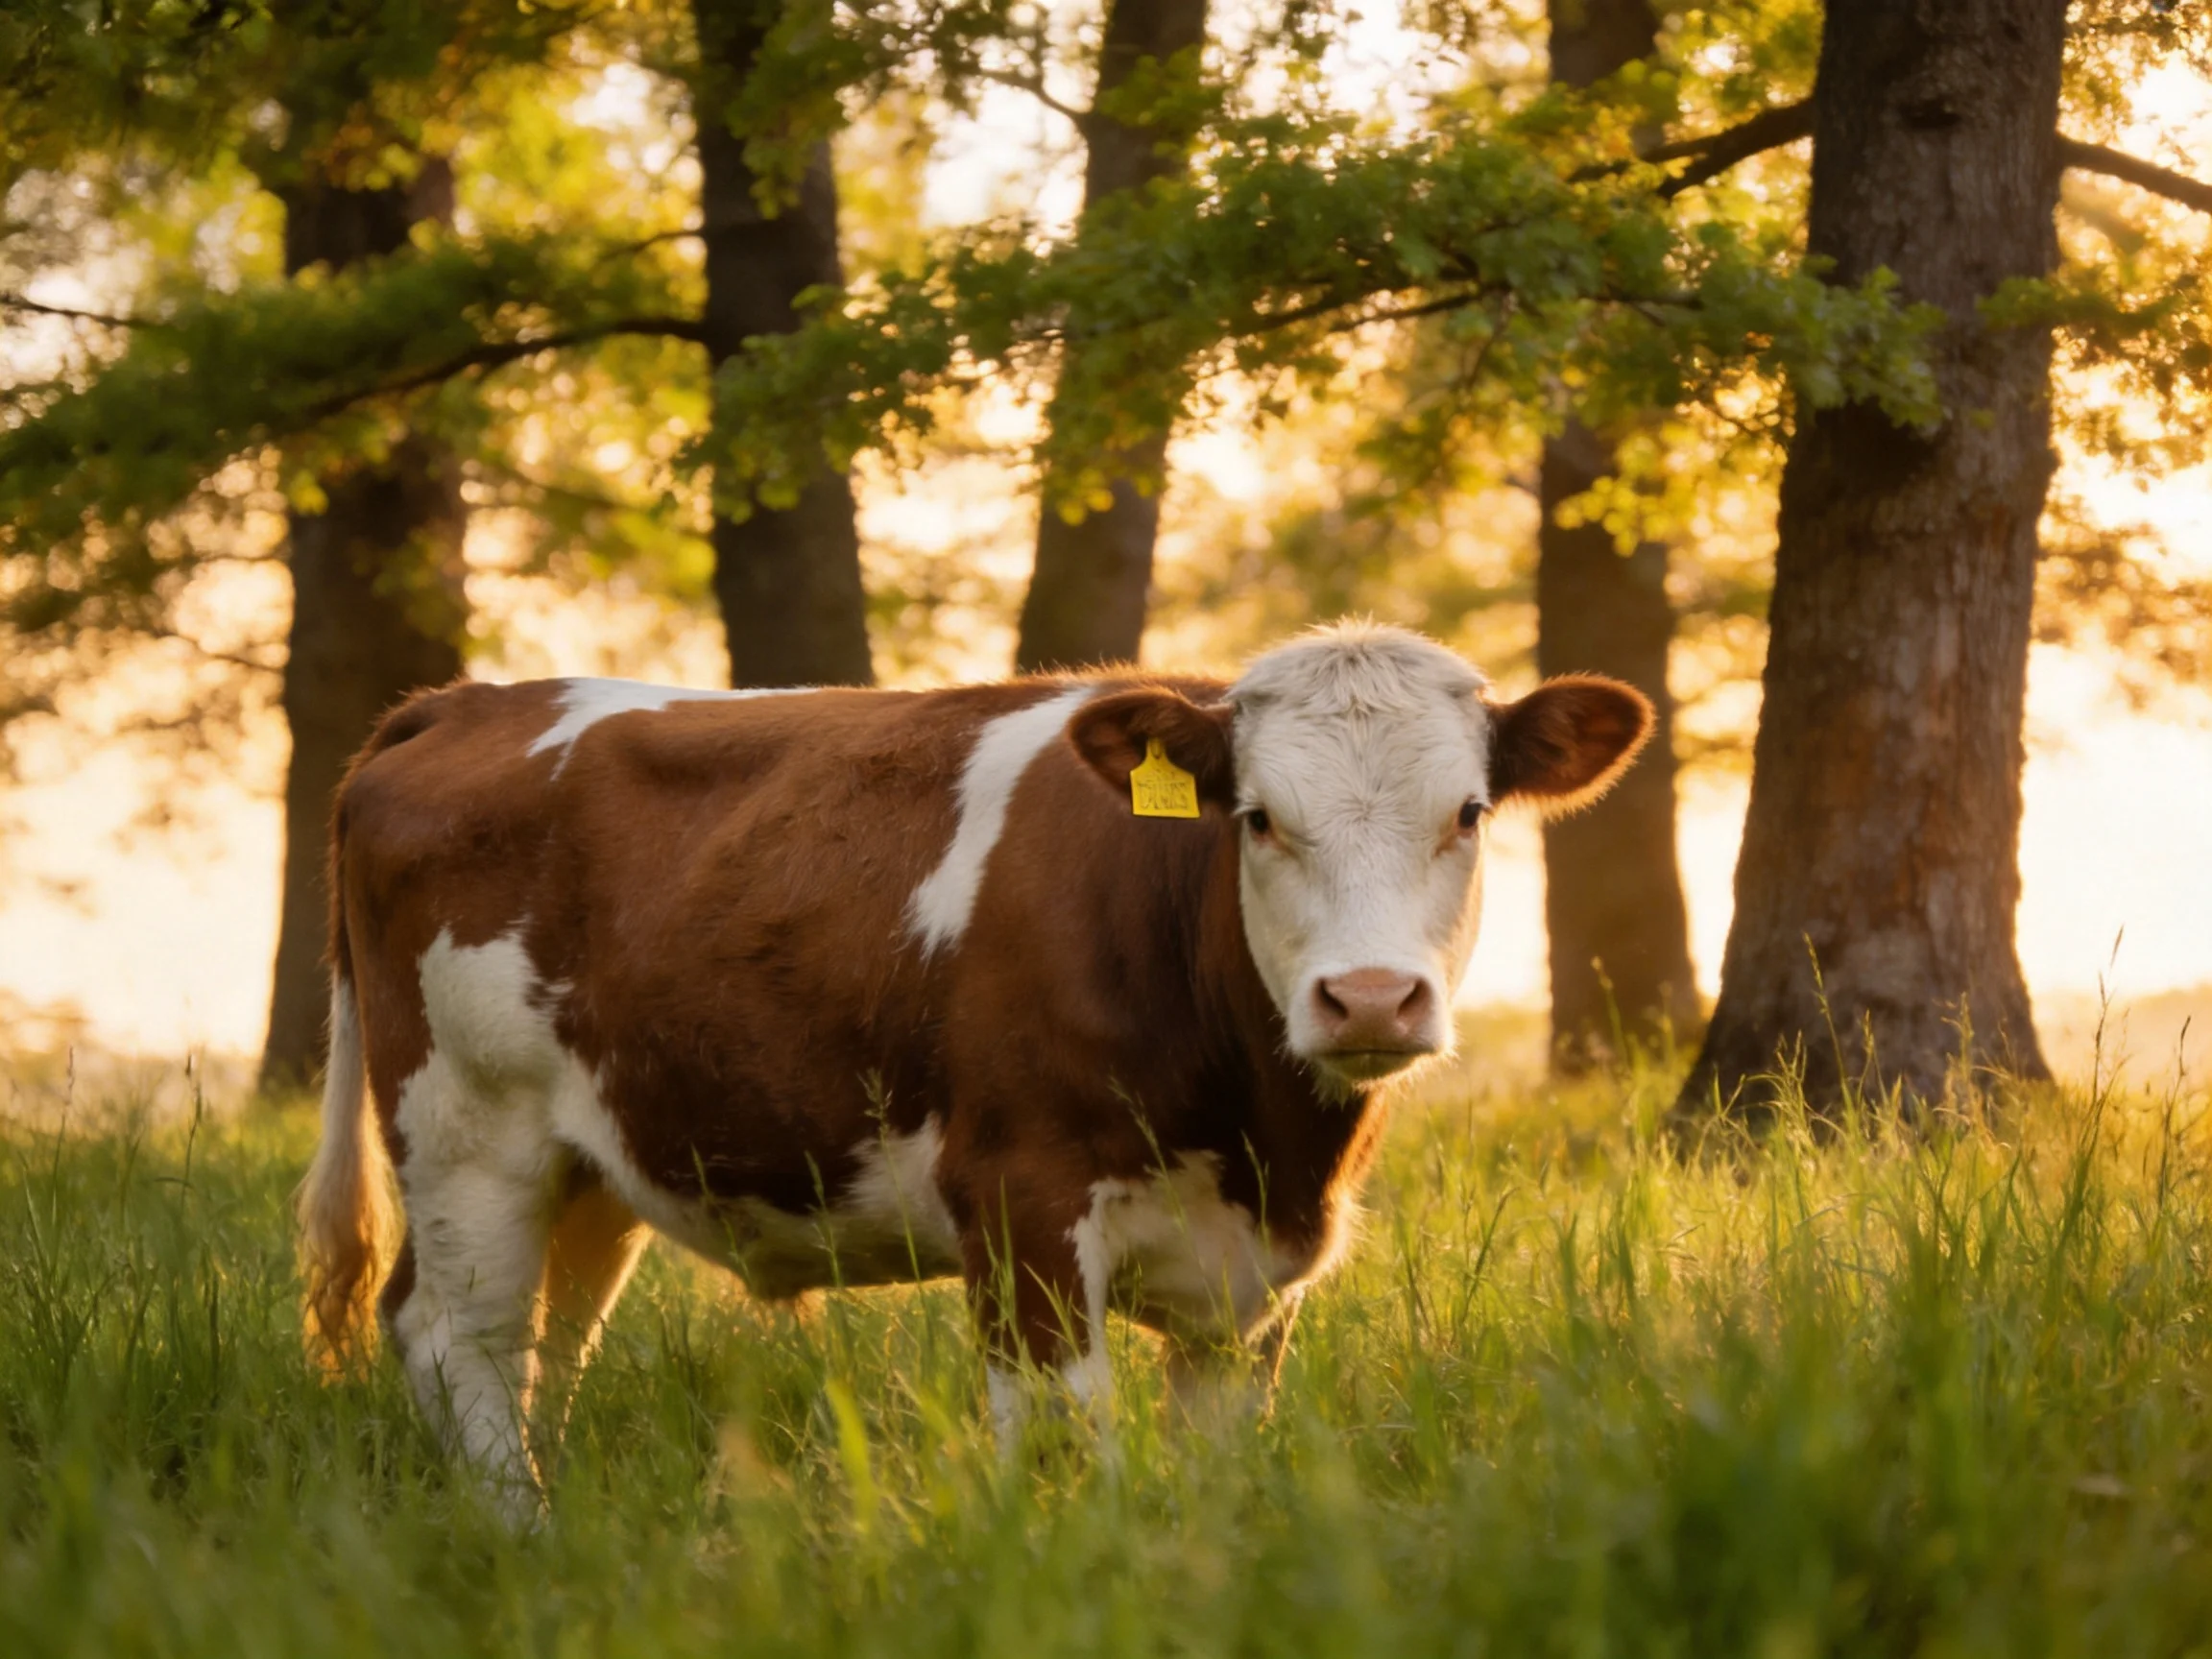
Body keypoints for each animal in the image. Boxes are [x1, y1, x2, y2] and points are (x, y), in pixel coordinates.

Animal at [298, 622, 1650, 1510]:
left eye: (1468, 814)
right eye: (1259, 817)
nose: (1370, 997)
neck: (1262, 1140)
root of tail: (466, 699)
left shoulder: (1255, 1279)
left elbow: (1220, 1458)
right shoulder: (1021, 1203)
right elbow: (1062, 1443)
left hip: (592, 1158)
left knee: (545, 1340)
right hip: (467, 1129)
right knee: (457, 1334)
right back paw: (515, 1532)